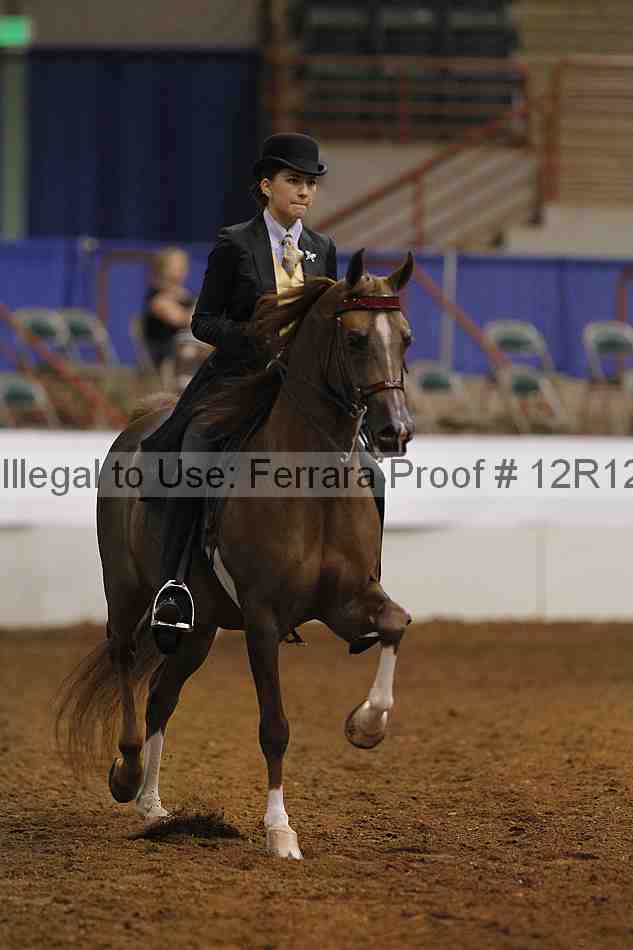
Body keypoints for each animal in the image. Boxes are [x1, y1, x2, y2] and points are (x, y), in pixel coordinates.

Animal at [55, 249, 416, 860]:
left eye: (407, 338)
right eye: (356, 339)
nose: (396, 430)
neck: (312, 484)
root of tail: (138, 423)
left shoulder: (347, 602)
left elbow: (394, 622)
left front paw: (366, 725)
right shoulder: (264, 619)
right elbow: (275, 726)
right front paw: (280, 831)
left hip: (198, 628)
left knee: (162, 696)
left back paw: (153, 806)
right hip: (126, 593)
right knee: (125, 662)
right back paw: (127, 776)